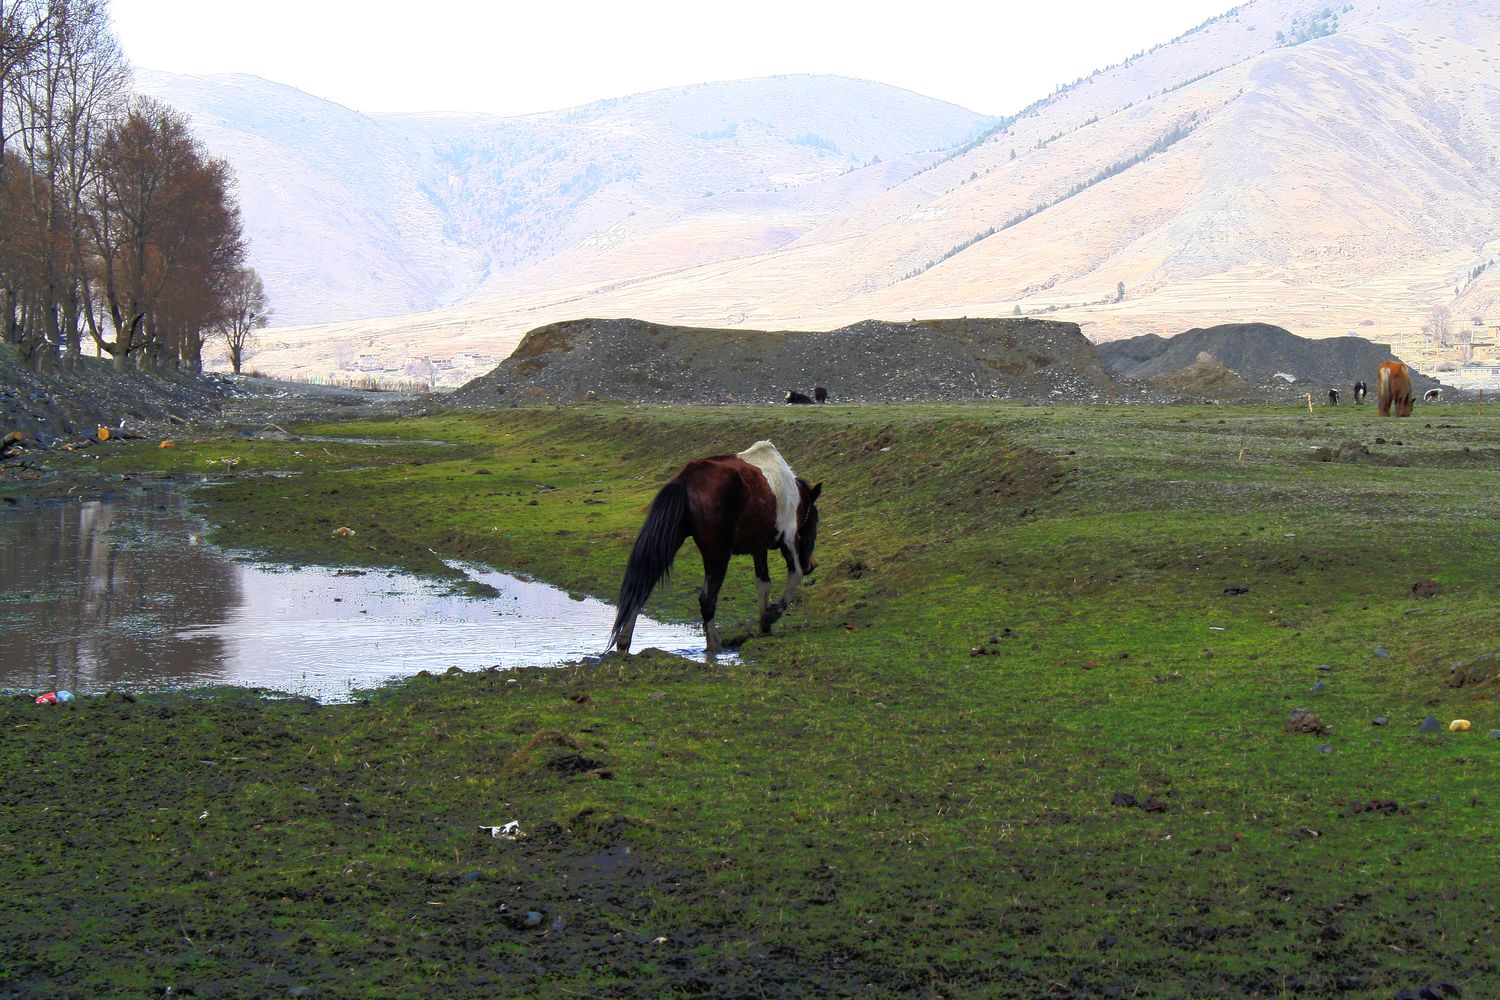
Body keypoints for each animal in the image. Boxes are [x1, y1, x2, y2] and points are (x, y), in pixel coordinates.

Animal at [606, 440, 822, 653]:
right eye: (816, 521)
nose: (812, 564)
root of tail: (685, 480)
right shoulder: (788, 537)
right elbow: (795, 575)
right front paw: (771, 616)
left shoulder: (758, 547)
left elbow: (763, 584)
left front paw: (765, 627)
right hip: (718, 553)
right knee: (707, 598)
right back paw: (714, 645)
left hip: (673, 541)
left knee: (643, 585)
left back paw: (624, 641)